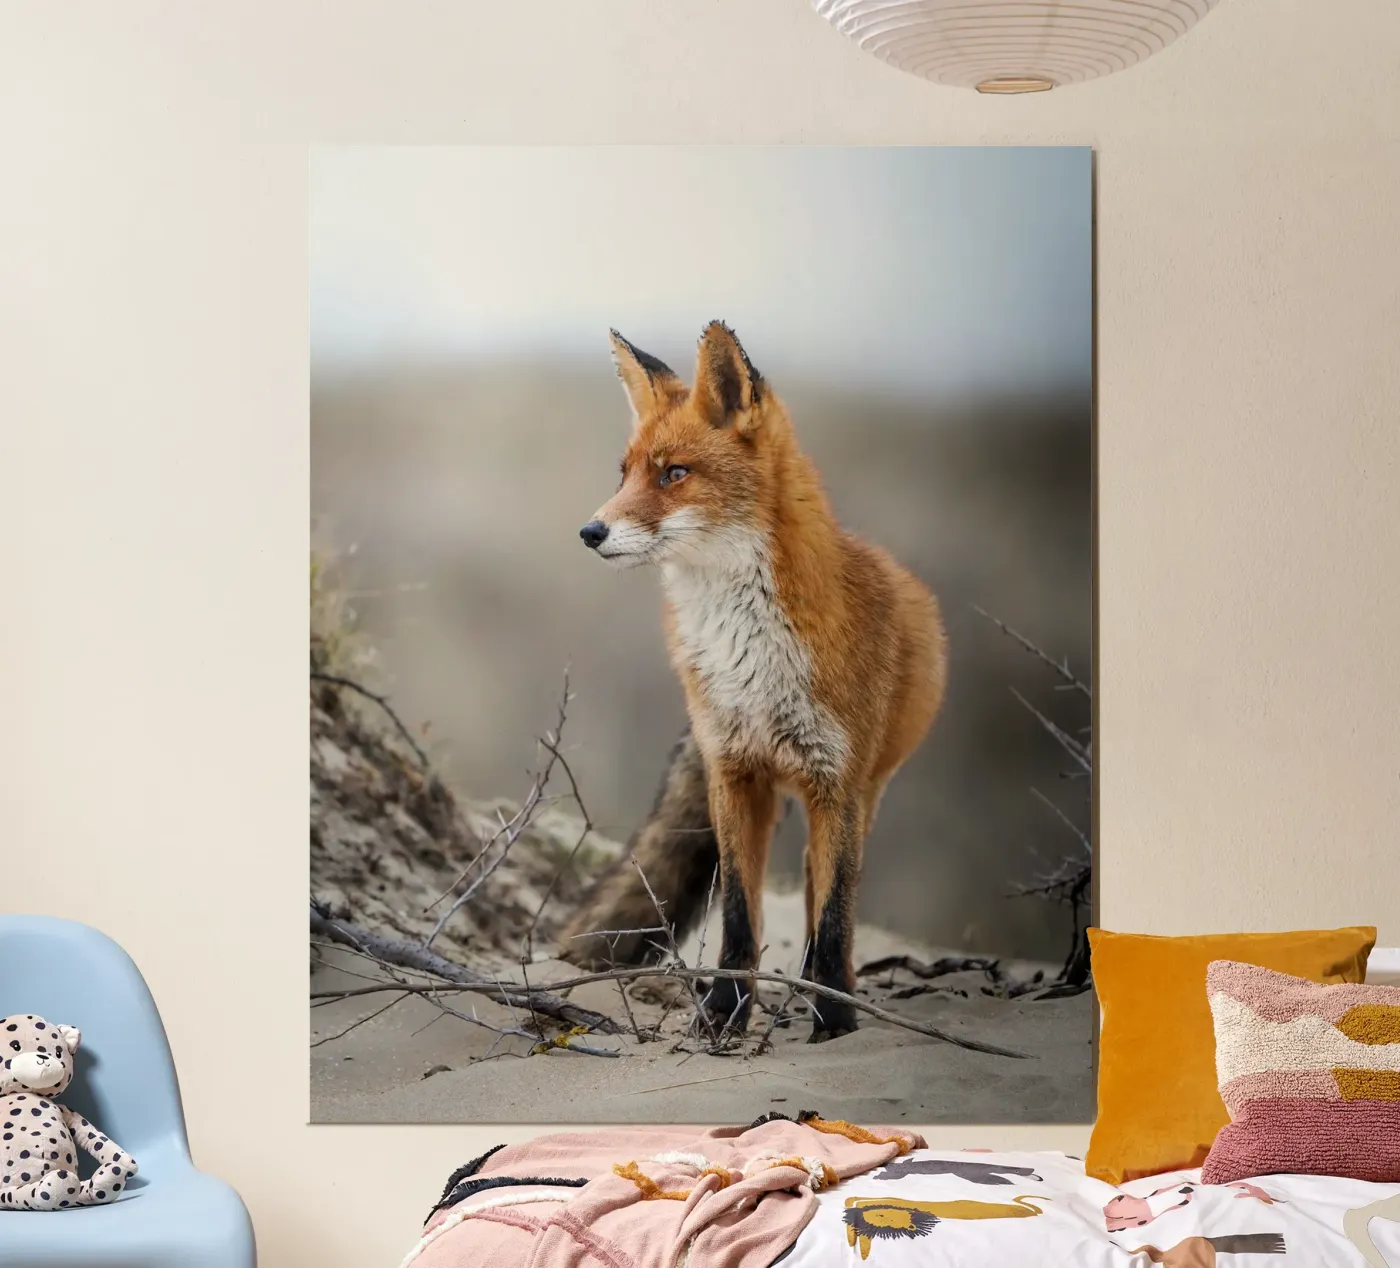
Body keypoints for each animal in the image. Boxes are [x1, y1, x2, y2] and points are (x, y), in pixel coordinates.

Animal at [564, 320, 947, 1042]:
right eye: (625, 473)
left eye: (674, 473)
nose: (589, 531)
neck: (750, 657)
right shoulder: (733, 770)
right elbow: (740, 915)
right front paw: (723, 1013)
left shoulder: (837, 781)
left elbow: (834, 918)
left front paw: (834, 1020)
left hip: (862, 796)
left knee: (824, 897)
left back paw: (822, 989)